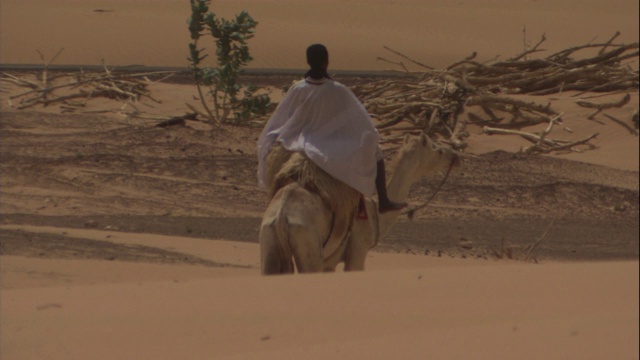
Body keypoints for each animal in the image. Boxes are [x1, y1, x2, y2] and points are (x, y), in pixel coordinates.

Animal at [260, 134, 460, 274]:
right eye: (437, 149)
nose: (455, 156)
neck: (375, 213)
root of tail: (281, 216)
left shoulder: (329, 263)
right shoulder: (357, 252)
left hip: (269, 241)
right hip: (307, 242)